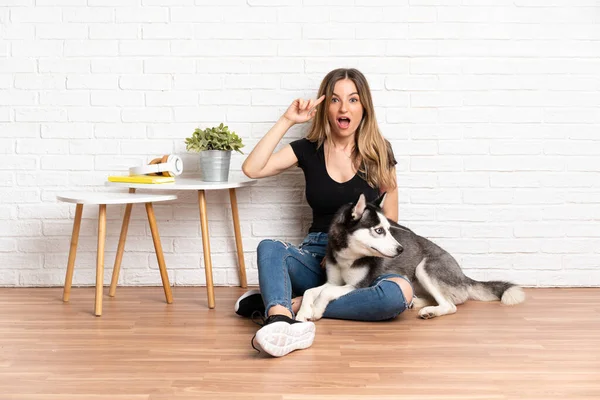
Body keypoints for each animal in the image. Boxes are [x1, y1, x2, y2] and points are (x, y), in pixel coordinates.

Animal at [296, 193, 524, 322]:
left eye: (389, 229)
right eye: (379, 230)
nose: (400, 249)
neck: (349, 256)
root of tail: (463, 275)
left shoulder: (359, 285)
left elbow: (327, 293)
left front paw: (317, 310)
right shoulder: (333, 281)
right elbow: (310, 290)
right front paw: (302, 312)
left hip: (425, 268)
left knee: (450, 305)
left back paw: (431, 311)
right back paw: (417, 302)